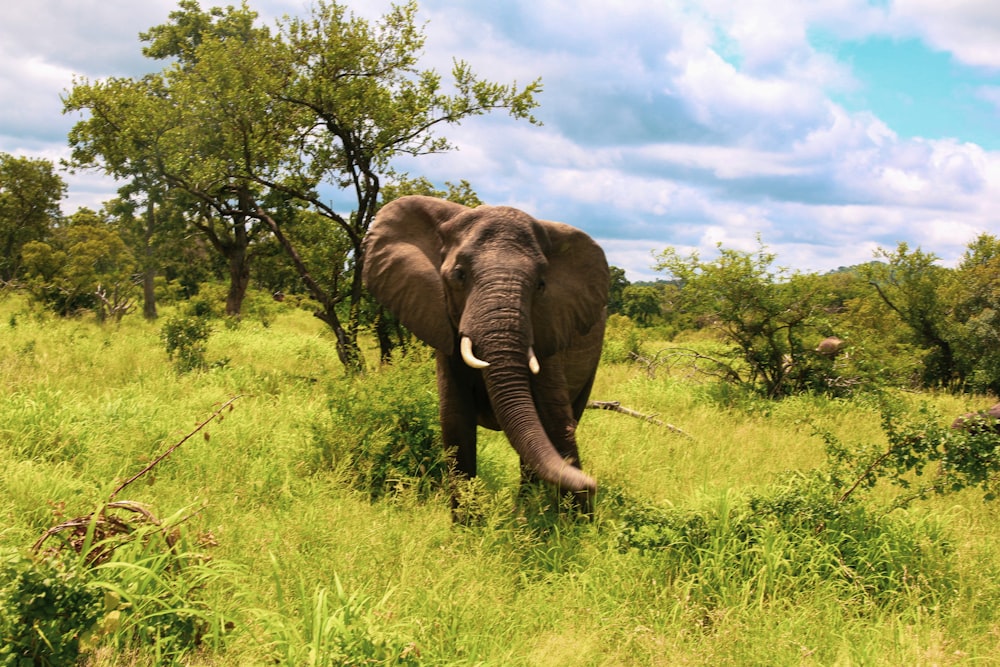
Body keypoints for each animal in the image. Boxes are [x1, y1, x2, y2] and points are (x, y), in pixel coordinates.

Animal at [364, 196, 604, 508]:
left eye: (541, 285)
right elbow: (456, 425)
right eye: (459, 275)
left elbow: (557, 423)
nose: (593, 483)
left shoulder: (549, 331)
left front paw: (578, 516)